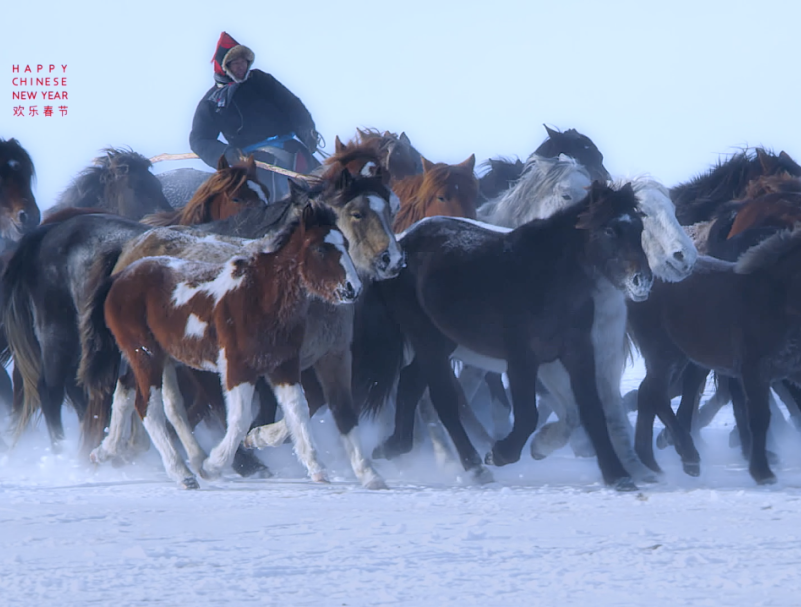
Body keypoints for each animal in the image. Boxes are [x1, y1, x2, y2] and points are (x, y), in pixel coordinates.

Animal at [81, 204, 360, 490]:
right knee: (148, 407)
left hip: (156, 358)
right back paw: (182, 472)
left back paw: (108, 451)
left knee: (140, 396)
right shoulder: (238, 367)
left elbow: (298, 410)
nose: (353, 289)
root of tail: (119, 277)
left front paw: (317, 469)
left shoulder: (284, 366)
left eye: (346, 244)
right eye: (320, 249)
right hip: (144, 355)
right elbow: (239, 419)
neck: (259, 296)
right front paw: (214, 465)